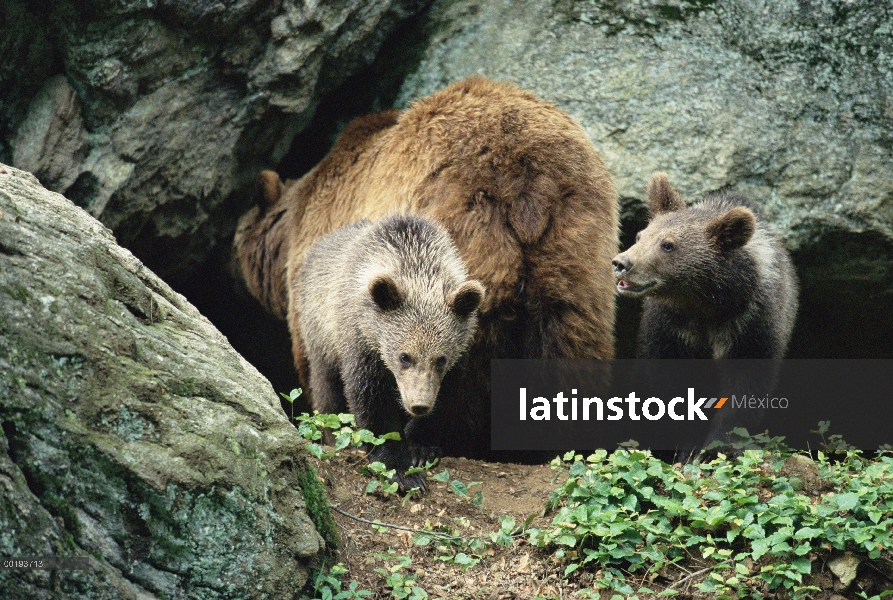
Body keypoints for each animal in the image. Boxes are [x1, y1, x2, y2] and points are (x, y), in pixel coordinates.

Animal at [233, 76, 616, 460]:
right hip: (577, 239)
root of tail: (527, 178)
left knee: (469, 353)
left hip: (460, 232)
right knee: (571, 333)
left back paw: (428, 436)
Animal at [298, 213, 480, 490]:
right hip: (320, 335)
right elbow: (372, 402)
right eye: (404, 357)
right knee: (326, 389)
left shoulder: (459, 356)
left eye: (440, 359)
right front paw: (401, 470)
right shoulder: (362, 344)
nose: (419, 405)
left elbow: (446, 395)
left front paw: (421, 447)